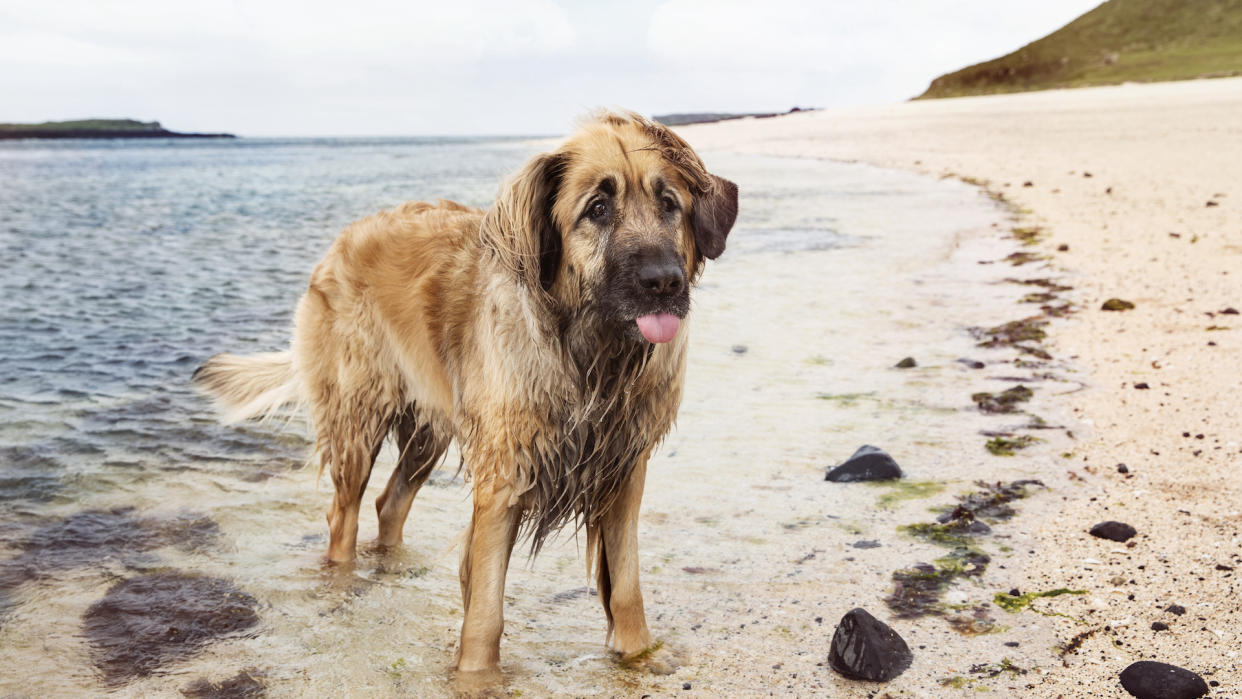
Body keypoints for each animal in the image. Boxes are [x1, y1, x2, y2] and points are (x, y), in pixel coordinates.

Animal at [193, 113, 735, 680]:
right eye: (598, 209)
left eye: (670, 204)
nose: (664, 282)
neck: (591, 359)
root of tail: (342, 238)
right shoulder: (504, 479)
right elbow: (485, 610)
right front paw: (477, 678)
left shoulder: (623, 471)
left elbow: (626, 588)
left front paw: (639, 657)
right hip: (357, 423)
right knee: (345, 519)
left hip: (427, 431)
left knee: (390, 502)